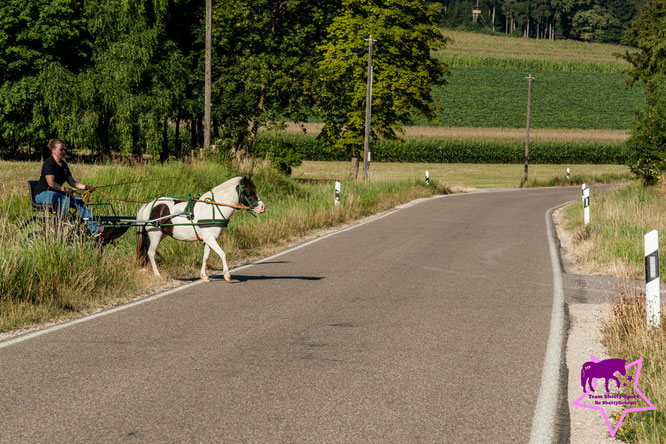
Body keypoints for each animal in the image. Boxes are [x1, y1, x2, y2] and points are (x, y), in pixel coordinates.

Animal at [135, 176, 264, 280]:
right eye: (248, 192)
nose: (262, 207)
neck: (212, 209)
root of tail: (148, 205)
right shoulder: (210, 239)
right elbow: (222, 254)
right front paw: (227, 275)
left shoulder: (208, 239)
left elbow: (205, 257)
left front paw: (204, 276)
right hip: (155, 235)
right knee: (151, 253)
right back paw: (158, 275)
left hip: (162, 234)